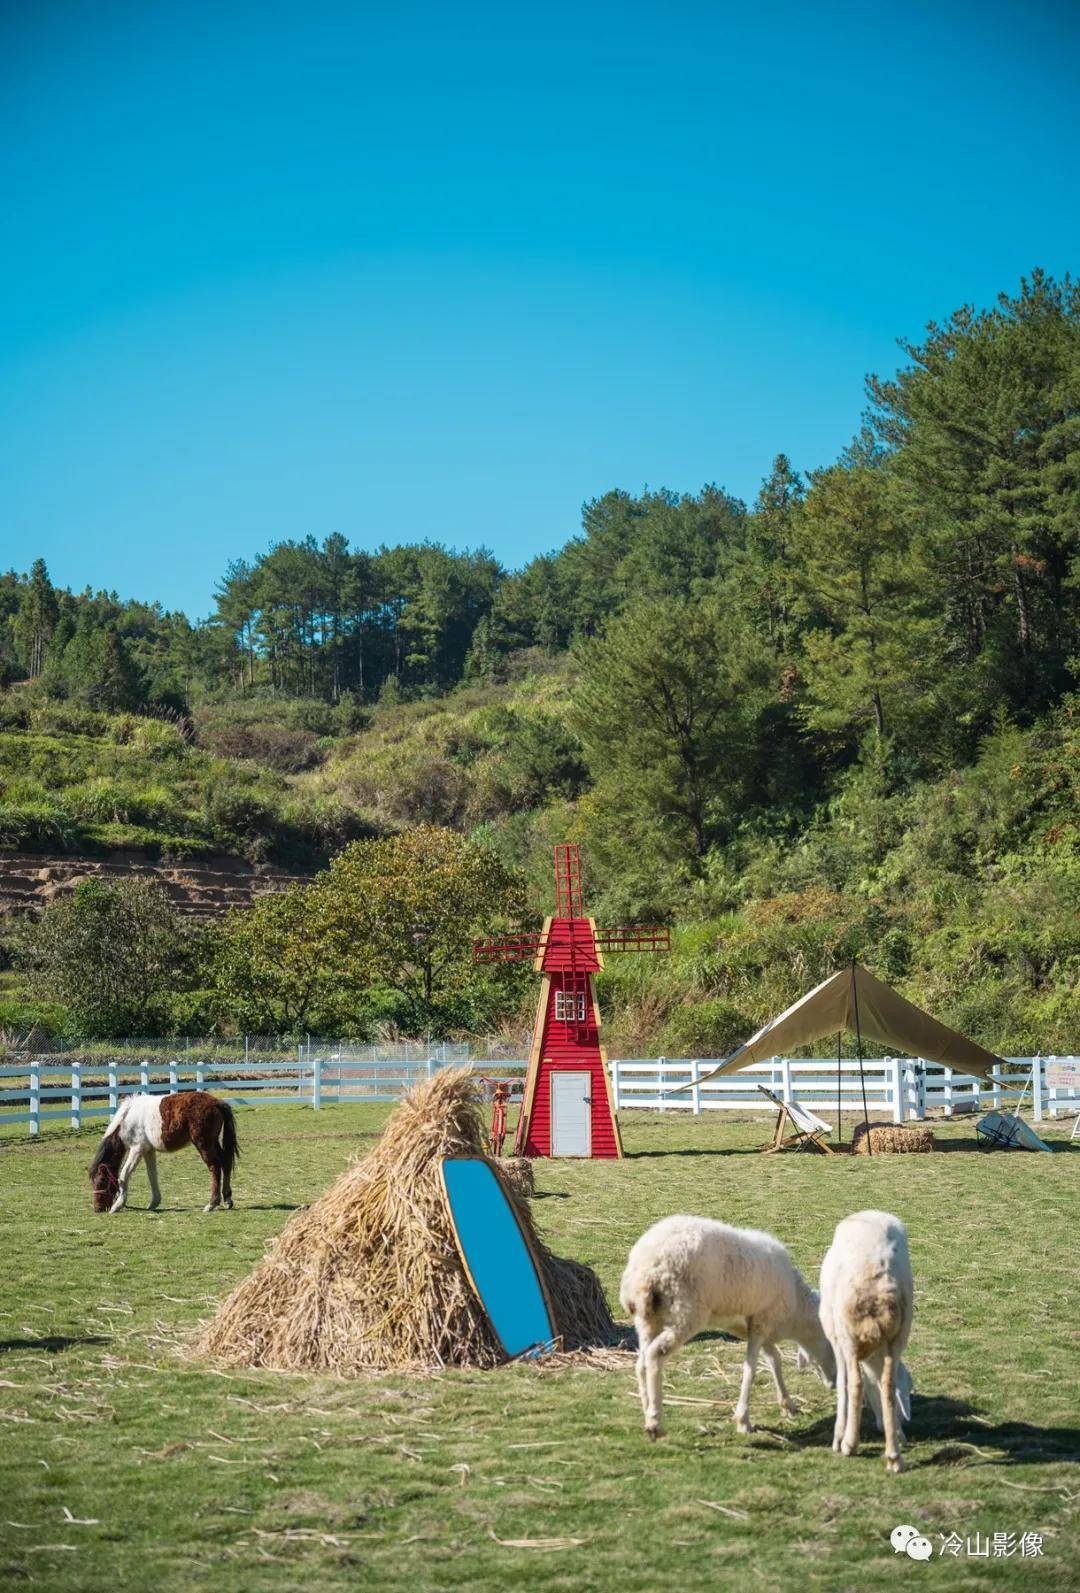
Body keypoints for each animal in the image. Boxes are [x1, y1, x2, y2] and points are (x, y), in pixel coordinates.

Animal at [90, 1089, 240, 1210]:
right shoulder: (148, 1151)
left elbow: (124, 1175)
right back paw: (227, 1199)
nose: (98, 1208)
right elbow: (152, 1175)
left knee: (215, 1166)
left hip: (204, 1143)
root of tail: (217, 1102)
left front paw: (117, 1205)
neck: (127, 1119)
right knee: (226, 1162)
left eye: (101, 1182)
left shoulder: (137, 1149)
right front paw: (154, 1203)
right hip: (213, 1142)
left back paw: (212, 1203)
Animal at [618, 1217, 834, 1446]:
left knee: (641, 1363)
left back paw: (647, 1408)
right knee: (655, 1355)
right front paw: (743, 1421)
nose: (835, 1383)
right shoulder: (761, 1322)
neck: (796, 1309)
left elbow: (774, 1360)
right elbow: (751, 1369)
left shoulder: (756, 1325)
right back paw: (655, 1422)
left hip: (647, 1319)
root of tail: (646, 1267)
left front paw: (788, 1405)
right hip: (684, 1314)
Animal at [821, 1210, 911, 1471]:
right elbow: (878, 1385)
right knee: (888, 1385)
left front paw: (839, 1436)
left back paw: (849, 1443)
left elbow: (844, 1383)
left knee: (855, 1384)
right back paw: (894, 1455)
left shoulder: (836, 1340)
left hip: (847, 1335)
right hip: (898, 1336)